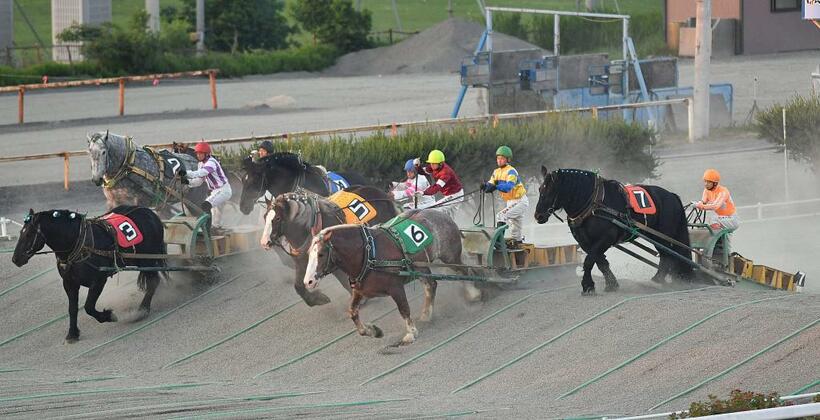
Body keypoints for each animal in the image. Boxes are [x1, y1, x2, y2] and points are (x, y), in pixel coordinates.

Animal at [12, 205, 168, 342]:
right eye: (20, 233)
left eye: (29, 234)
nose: (15, 259)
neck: (79, 243)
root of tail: (150, 212)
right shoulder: (69, 283)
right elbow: (72, 309)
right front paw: (72, 333)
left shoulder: (98, 281)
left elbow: (88, 307)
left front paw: (107, 316)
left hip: (147, 259)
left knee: (153, 282)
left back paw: (142, 309)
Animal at [262, 185, 400, 306]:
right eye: (264, 217)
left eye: (277, 218)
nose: (264, 242)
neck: (309, 228)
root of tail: (381, 194)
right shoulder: (303, 263)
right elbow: (299, 286)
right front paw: (317, 299)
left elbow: (344, 279)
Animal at [302, 208, 474, 346]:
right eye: (309, 253)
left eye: (321, 254)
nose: (308, 281)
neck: (369, 254)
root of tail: (442, 214)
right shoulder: (359, 292)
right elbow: (352, 312)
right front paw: (372, 331)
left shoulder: (395, 288)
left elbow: (404, 309)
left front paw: (411, 333)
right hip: (420, 267)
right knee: (431, 285)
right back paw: (427, 314)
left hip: (451, 257)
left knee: (465, 272)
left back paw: (474, 293)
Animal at [532, 168, 692, 296]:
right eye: (540, 189)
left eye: (550, 190)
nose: (538, 215)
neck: (594, 204)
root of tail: (672, 196)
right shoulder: (585, 242)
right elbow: (600, 261)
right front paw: (611, 283)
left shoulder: (606, 238)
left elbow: (589, 261)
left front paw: (587, 286)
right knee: (668, 256)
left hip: (664, 236)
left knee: (667, 256)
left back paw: (657, 280)